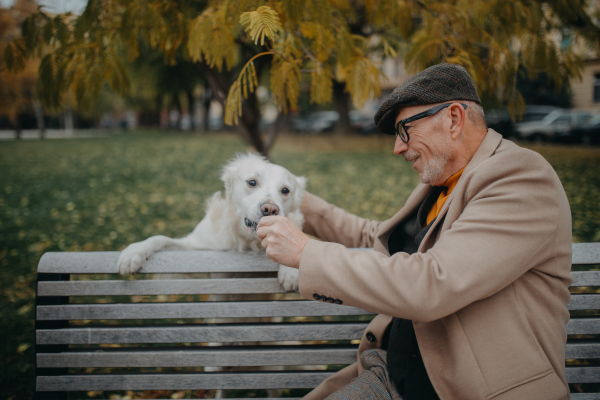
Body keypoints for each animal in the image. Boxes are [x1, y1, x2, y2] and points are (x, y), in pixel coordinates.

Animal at [116, 152, 304, 292]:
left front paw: (292, 270)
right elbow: (161, 238)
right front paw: (134, 252)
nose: (270, 209)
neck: (246, 241)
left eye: (285, 190)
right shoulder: (196, 249)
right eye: (252, 182)